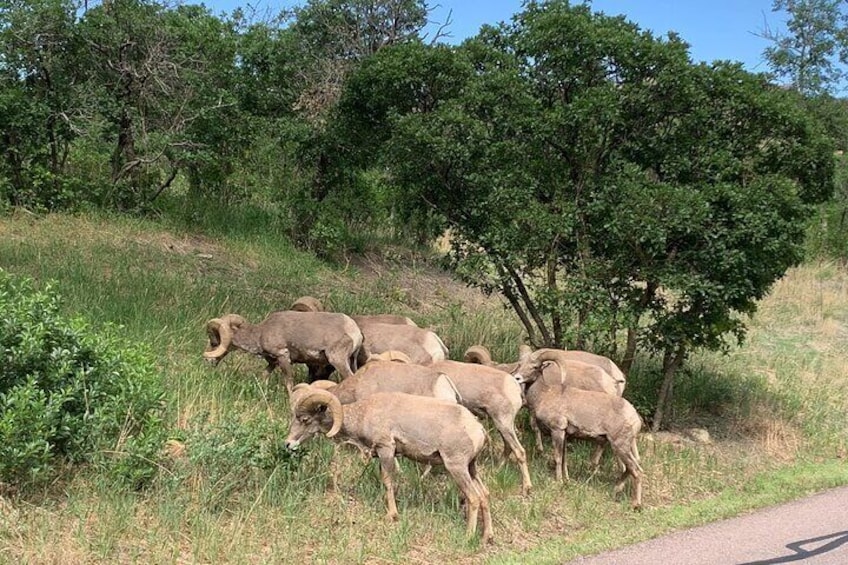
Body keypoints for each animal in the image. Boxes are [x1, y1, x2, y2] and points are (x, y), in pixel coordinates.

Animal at [207, 310, 366, 390]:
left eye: (215, 342)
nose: (208, 360)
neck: (261, 333)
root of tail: (355, 331)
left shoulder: (283, 356)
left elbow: (289, 382)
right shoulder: (273, 363)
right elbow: (264, 376)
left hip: (338, 360)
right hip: (351, 361)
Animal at [286, 386, 494, 540]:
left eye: (304, 419)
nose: (288, 444)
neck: (364, 414)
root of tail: (478, 430)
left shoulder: (386, 449)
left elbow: (388, 481)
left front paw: (392, 515)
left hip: (457, 468)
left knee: (474, 498)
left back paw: (468, 536)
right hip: (471, 468)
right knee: (484, 495)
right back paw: (487, 537)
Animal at [430, 360, 528, 492]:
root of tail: (515, 388)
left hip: (503, 423)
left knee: (519, 451)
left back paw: (526, 488)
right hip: (502, 426)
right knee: (508, 447)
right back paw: (497, 469)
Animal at [524, 364, 644, 508]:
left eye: (534, 367)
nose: (518, 377)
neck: (545, 394)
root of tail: (635, 418)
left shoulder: (557, 431)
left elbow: (558, 458)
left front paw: (559, 481)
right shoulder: (565, 436)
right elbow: (564, 460)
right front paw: (566, 480)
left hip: (620, 446)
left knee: (636, 470)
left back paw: (635, 504)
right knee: (632, 467)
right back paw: (616, 491)